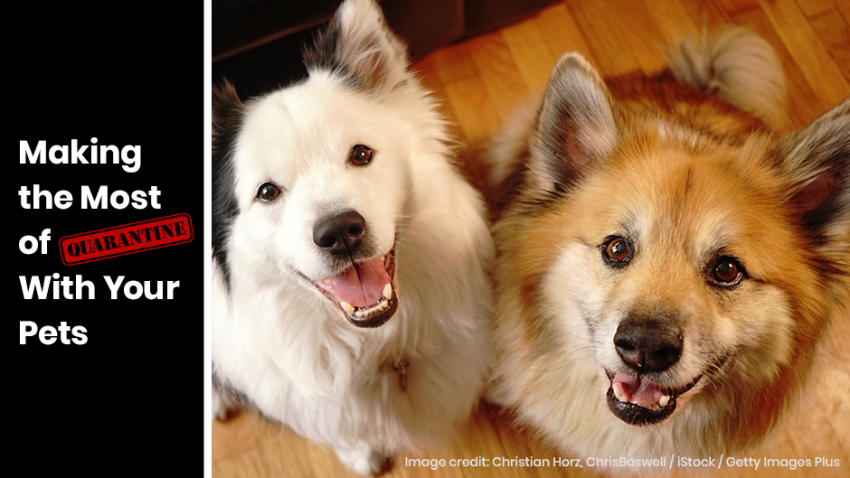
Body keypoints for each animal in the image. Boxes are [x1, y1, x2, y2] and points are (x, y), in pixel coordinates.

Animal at [210, 0, 494, 474]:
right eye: (267, 192)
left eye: (360, 154)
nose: (340, 232)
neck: (376, 343)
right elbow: (345, 434)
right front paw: (363, 455)